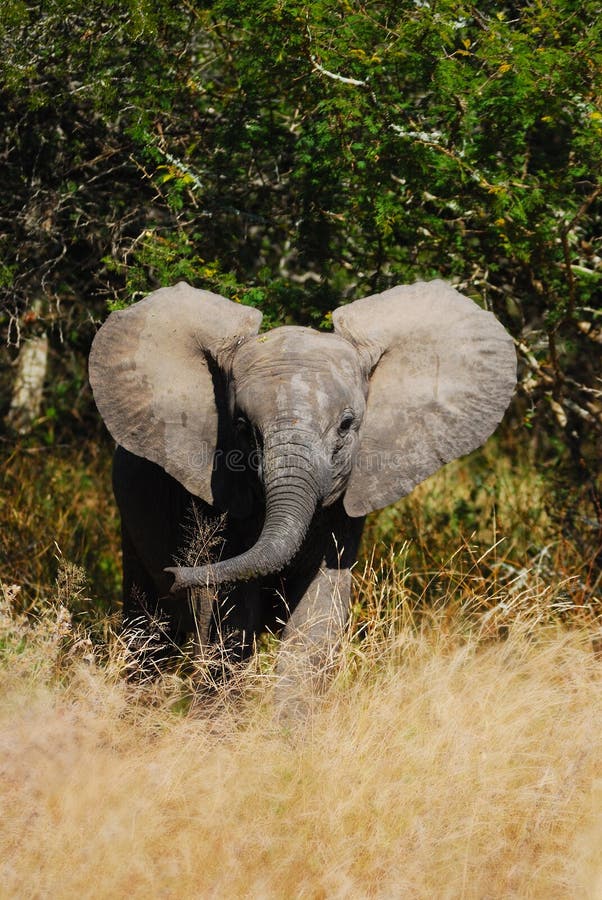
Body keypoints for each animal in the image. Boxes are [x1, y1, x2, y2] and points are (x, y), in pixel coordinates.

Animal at [89, 278, 516, 708]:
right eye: (241, 427)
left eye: (347, 424)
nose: (176, 573)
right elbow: (227, 619)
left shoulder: (342, 511)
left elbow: (317, 619)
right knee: (150, 631)